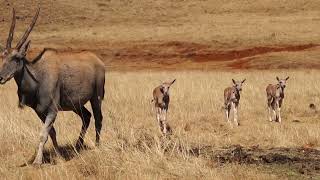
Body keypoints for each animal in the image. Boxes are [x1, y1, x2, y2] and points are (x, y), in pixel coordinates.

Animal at [0, 8, 105, 166]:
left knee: (98, 118)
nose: (1, 77)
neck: (38, 76)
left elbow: (43, 135)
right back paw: (78, 146)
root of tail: (98, 60)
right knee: (86, 117)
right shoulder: (40, 112)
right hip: (76, 105)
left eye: (17, 58)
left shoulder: (52, 111)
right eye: (2, 56)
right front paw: (59, 156)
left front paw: (37, 161)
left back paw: (97, 146)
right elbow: (52, 133)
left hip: (96, 97)